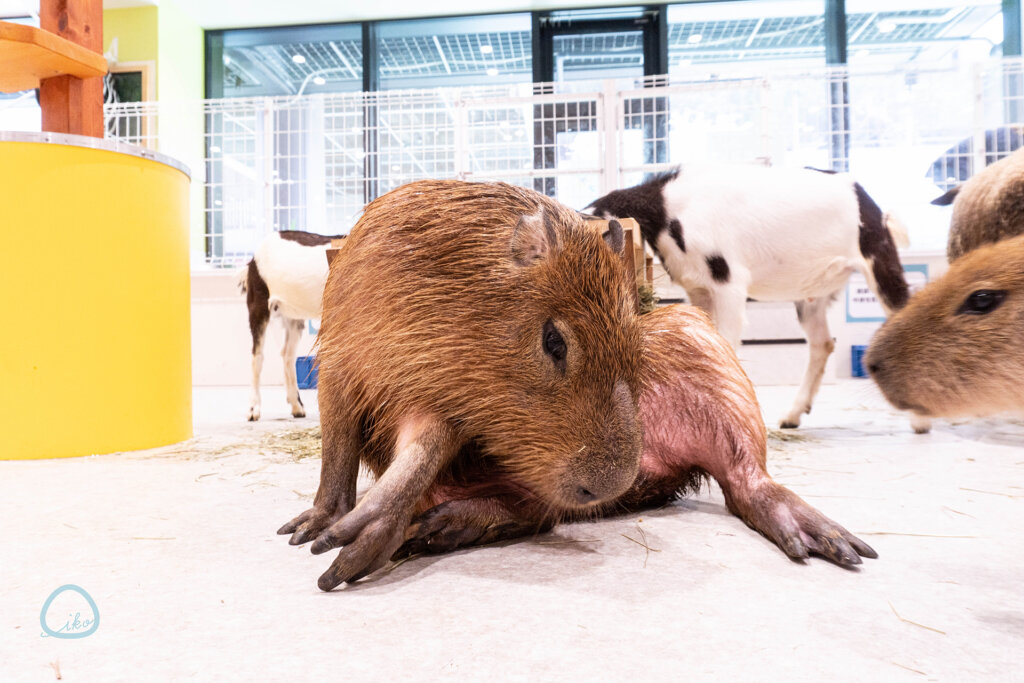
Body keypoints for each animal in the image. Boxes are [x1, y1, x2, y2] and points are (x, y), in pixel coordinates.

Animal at [235, 232, 339, 419]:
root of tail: (252, 261)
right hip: (259, 302)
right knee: (257, 356)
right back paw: (254, 409)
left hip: (292, 315)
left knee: (288, 355)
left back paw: (296, 406)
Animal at [585, 164, 913, 430]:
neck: (670, 213)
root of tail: (869, 201)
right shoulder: (699, 290)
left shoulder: (728, 283)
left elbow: (727, 343)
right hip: (812, 294)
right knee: (822, 343)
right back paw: (792, 416)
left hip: (879, 261)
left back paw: (918, 420)